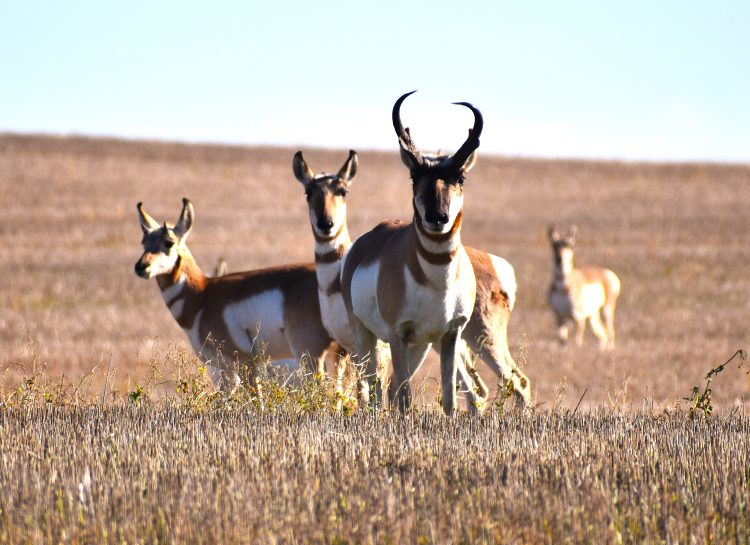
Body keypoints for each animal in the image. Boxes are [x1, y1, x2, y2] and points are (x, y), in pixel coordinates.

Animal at [134, 198, 341, 390]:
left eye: (168, 243)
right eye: (144, 242)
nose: (140, 267)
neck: (203, 296)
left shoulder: (242, 365)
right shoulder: (229, 370)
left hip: (311, 356)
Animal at [294, 149, 530, 409]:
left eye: (342, 191)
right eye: (308, 192)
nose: (326, 224)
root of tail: (496, 263)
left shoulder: (379, 348)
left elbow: (371, 390)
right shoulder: (349, 349)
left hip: (481, 339)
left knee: (514, 383)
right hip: (443, 344)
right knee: (480, 388)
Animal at [340, 90, 495, 415]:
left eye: (461, 177)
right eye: (413, 176)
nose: (437, 217)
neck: (437, 282)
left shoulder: (449, 335)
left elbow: (449, 397)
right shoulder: (398, 334)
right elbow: (405, 398)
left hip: (421, 346)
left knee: (384, 388)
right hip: (365, 335)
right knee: (371, 388)